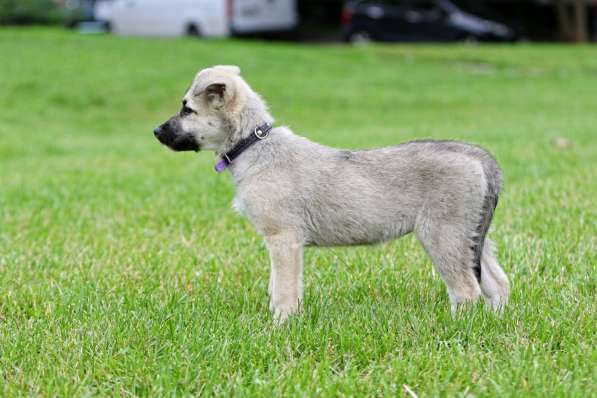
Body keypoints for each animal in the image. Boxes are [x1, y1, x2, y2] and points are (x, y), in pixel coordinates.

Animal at [154, 63, 508, 322]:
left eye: (187, 110)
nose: (156, 131)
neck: (253, 144)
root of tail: (479, 158)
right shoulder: (282, 243)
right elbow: (279, 286)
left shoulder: (283, 239)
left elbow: (284, 290)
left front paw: (280, 325)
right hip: (472, 238)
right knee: (498, 283)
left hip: (443, 237)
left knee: (467, 289)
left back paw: (456, 326)